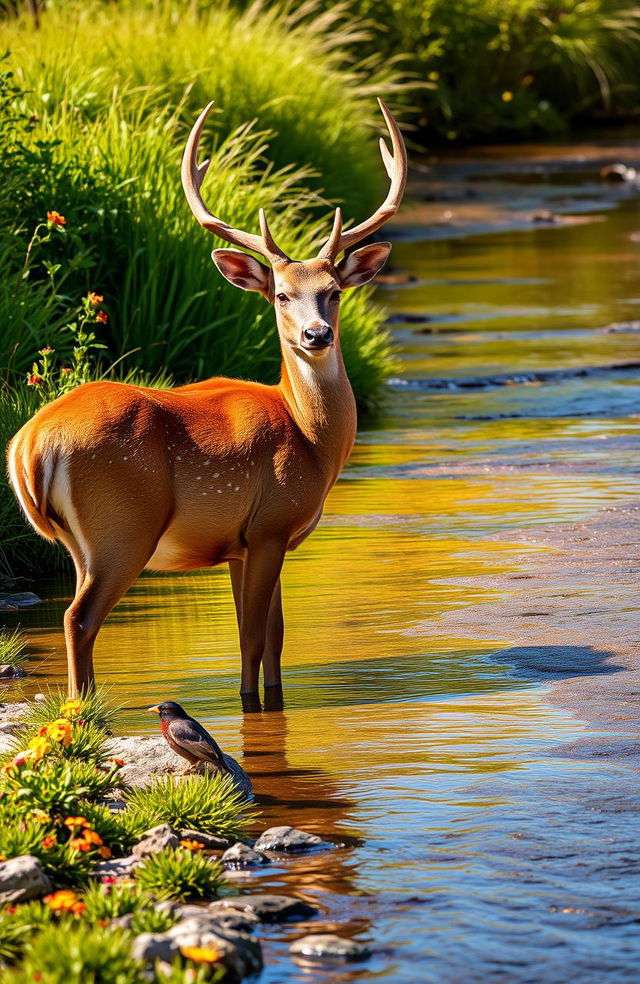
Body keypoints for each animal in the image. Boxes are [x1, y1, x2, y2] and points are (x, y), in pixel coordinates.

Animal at [7, 98, 408, 700]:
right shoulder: (270, 524)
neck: (310, 437)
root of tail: (30, 445)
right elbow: (255, 639)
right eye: (281, 294)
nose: (316, 334)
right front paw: (252, 704)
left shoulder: (243, 545)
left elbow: (271, 640)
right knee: (78, 618)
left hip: (78, 542)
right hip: (124, 525)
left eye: (334, 292)